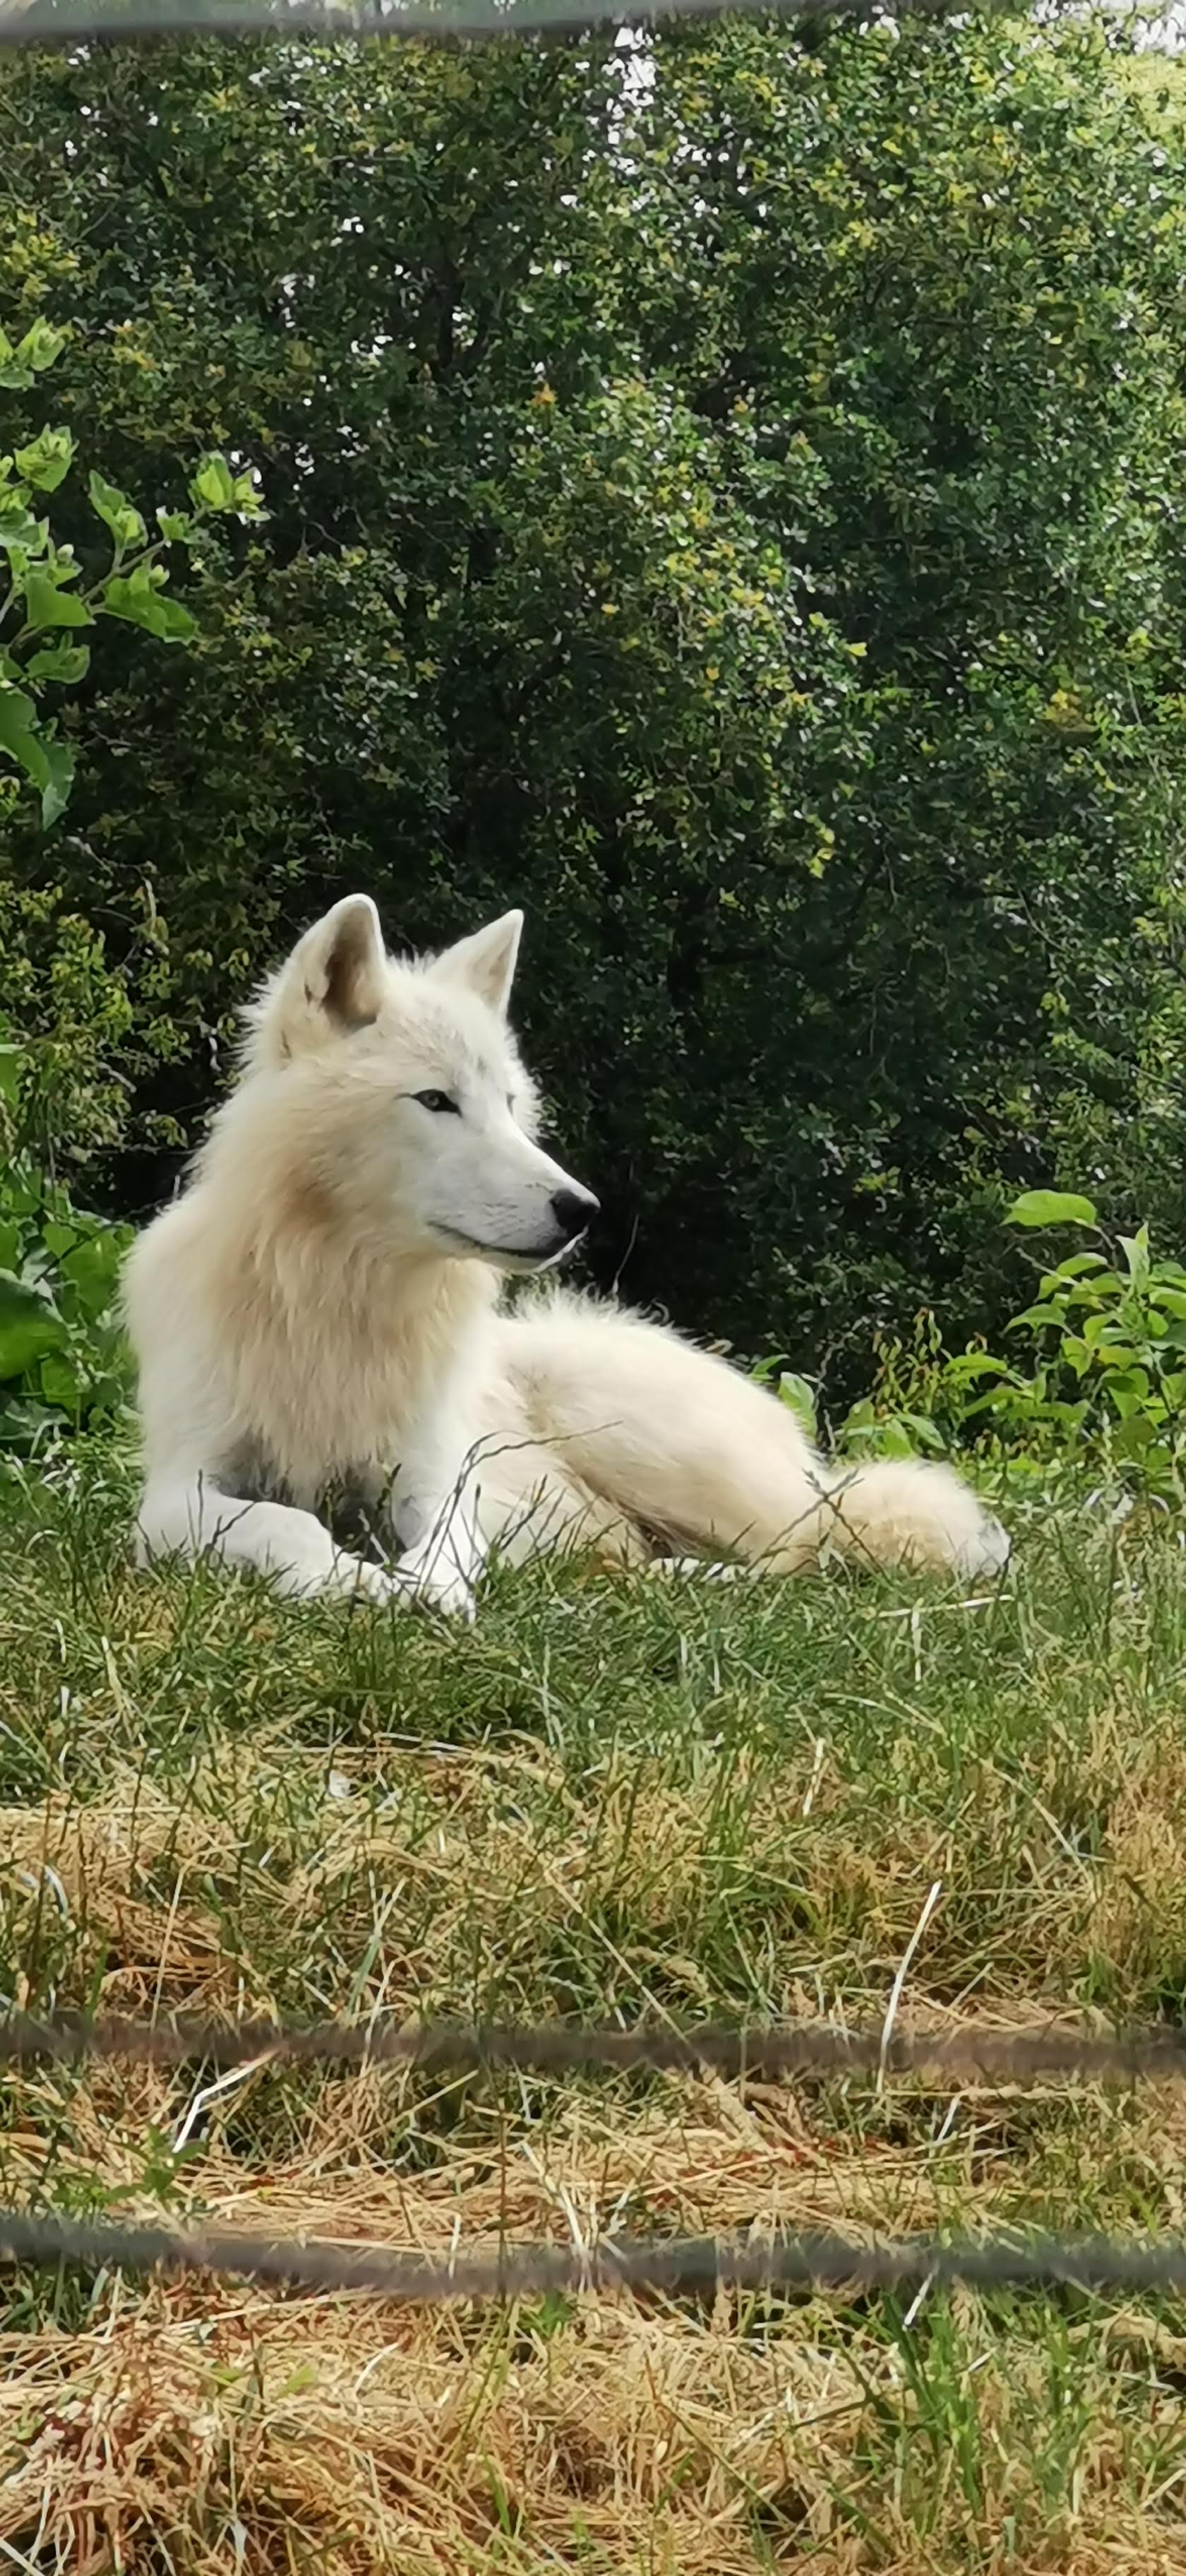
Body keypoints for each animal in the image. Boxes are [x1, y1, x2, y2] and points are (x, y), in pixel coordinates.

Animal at [123, 894, 1010, 1618]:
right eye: (437, 1101)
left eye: (511, 1106)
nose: (581, 1211)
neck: (342, 1296)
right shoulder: (174, 1495)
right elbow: (289, 1523)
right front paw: (348, 1579)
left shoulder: (442, 1476)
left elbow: (445, 1540)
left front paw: (426, 1589)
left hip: (605, 1405)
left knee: (808, 1552)